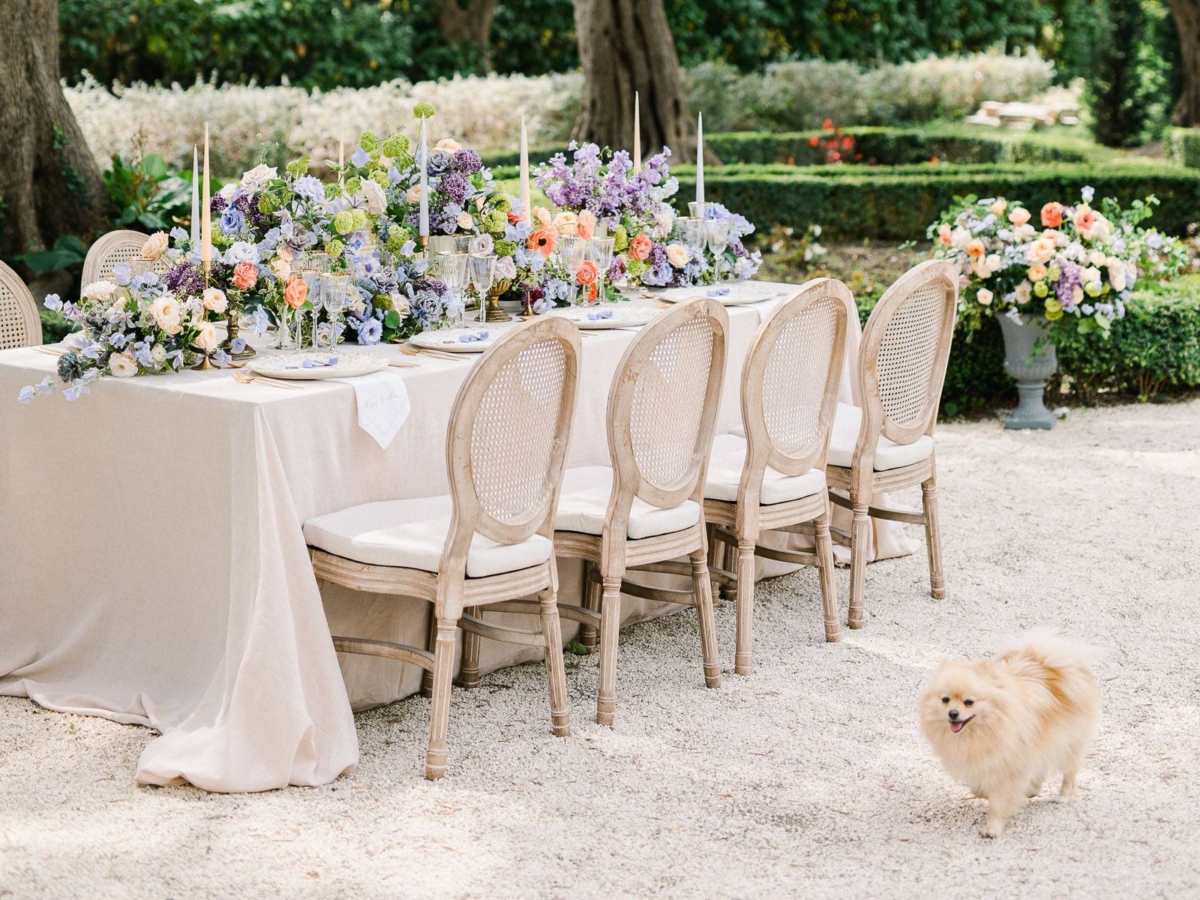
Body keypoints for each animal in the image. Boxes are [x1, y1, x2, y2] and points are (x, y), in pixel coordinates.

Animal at [921, 633, 1099, 840]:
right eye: (945, 699)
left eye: (969, 702)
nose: (953, 713)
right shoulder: (982, 761)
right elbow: (978, 788)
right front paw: (985, 794)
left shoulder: (1009, 767)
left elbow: (999, 802)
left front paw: (992, 828)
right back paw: (1032, 789)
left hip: (1068, 741)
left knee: (1070, 771)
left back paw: (1063, 796)